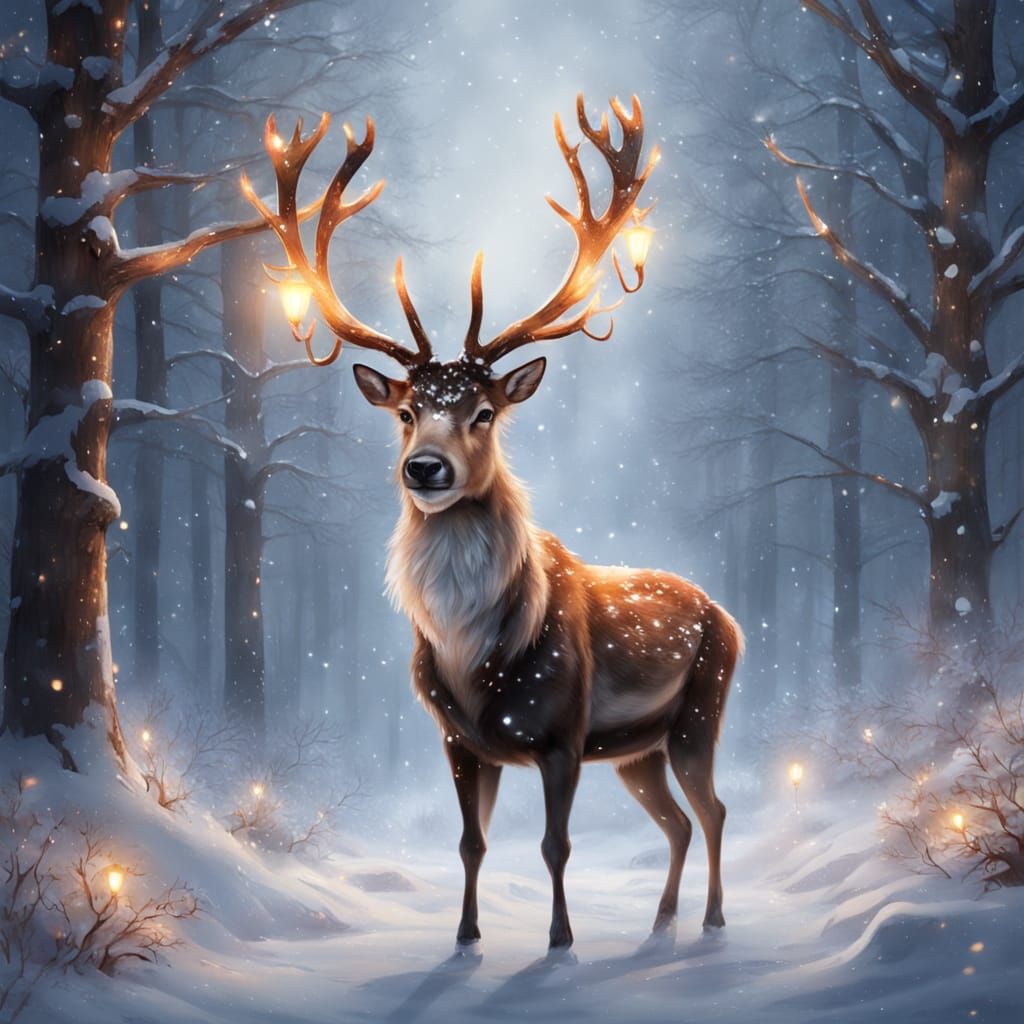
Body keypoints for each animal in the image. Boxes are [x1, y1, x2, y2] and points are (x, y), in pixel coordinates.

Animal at [244, 95, 743, 951]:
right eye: (406, 412)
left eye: (483, 412)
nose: (424, 469)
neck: (474, 654)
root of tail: (729, 616)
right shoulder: (457, 739)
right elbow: (470, 843)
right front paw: (466, 935)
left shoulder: (563, 732)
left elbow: (554, 844)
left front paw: (560, 940)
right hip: (637, 750)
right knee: (676, 821)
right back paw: (662, 920)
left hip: (700, 713)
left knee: (711, 809)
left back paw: (710, 919)